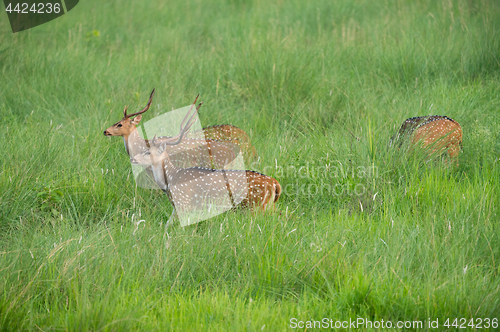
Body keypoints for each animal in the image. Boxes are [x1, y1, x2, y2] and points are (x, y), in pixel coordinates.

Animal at [131, 97, 282, 227]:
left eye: (148, 152)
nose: (133, 159)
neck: (170, 181)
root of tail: (275, 183)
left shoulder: (184, 202)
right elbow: (167, 225)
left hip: (256, 207)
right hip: (266, 206)